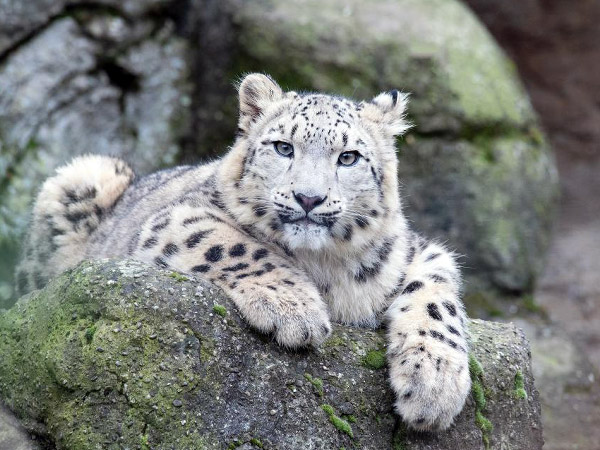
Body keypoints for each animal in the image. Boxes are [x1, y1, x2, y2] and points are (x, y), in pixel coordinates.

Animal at [15, 74, 468, 432]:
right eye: (284, 147)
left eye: (349, 157)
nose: (309, 198)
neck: (322, 263)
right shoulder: (178, 219)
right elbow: (236, 245)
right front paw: (295, 312)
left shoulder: (418, 250)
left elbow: (437, 299)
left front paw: (435, 385)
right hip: (82, 178)